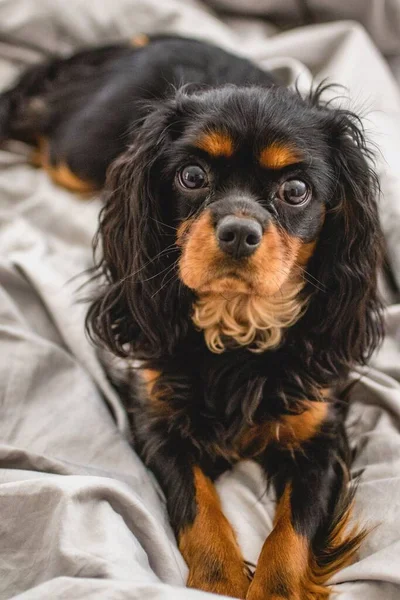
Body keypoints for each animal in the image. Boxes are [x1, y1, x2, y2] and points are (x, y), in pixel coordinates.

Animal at [0, 34, 384, 600]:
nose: (239, 232)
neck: (236, 330)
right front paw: (220, 581)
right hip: (78, 153)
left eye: (296, 191)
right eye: (193, 176)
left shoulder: (321, 433)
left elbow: (292, 533)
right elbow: (198, 508)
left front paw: (272, 586)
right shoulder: (157, 418)